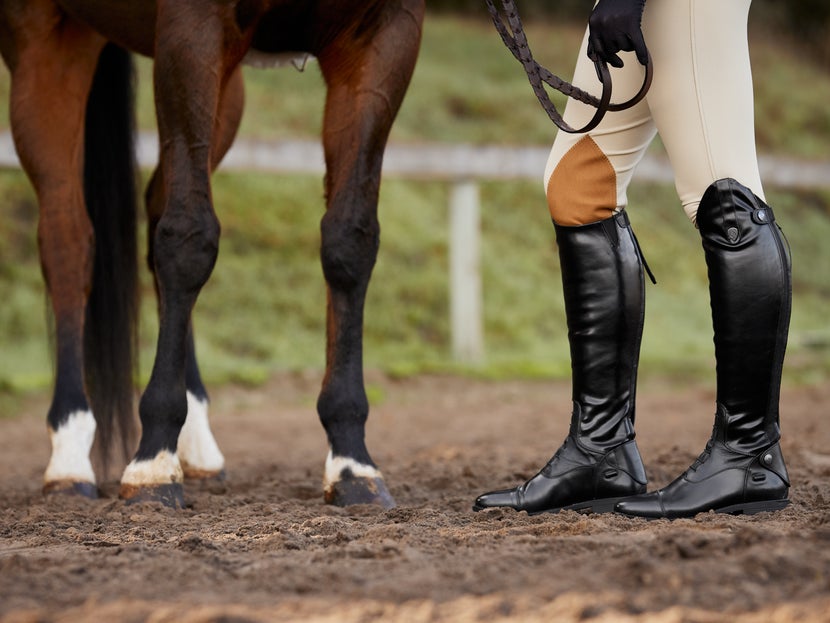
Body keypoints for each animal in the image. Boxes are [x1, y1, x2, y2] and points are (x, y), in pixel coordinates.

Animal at [0, 0, 426, 508]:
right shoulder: (192, 31)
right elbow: (188, 239)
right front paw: (153, 463)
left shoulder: (384, 36)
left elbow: (349, 242)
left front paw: (351, 461)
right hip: (47, 42)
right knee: (67, 240)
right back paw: (69, 452)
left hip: (225, 82)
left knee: (153, 210)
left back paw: (197, 443)